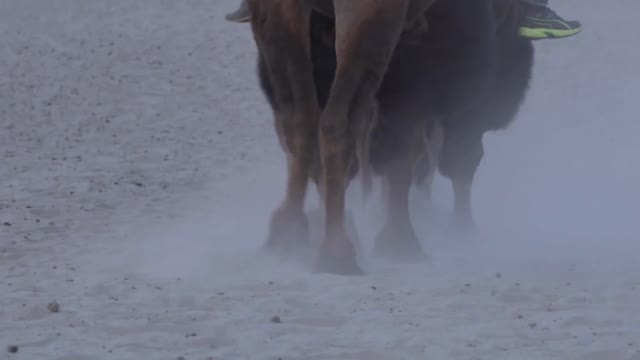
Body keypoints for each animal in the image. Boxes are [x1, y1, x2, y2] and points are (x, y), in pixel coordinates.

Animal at [252, 0, 532, 272]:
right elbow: (405, 149)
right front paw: (402, 243)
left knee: (301, 116)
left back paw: (288, 235)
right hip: (369, 15)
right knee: (336, 121)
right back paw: (338, 251)